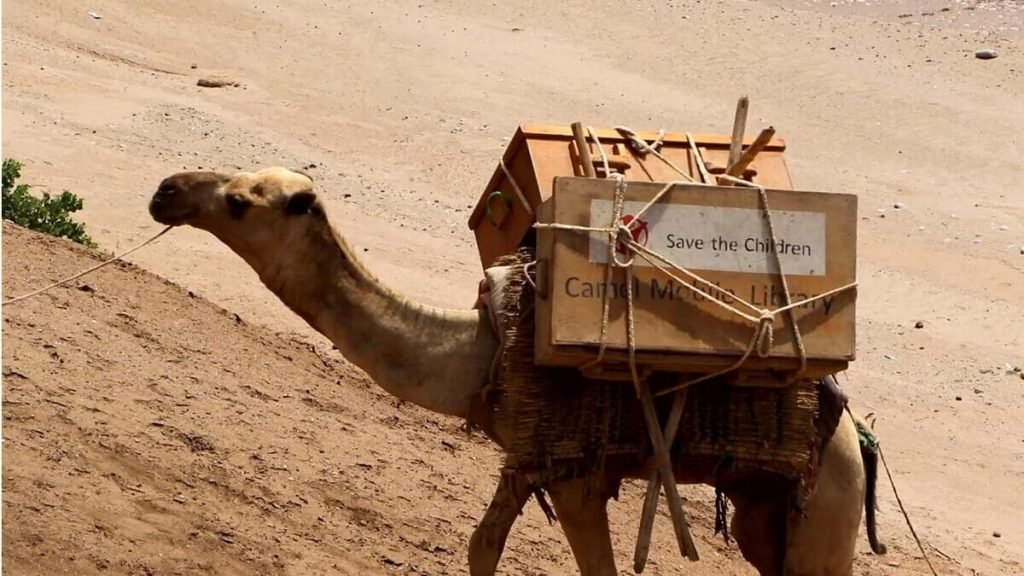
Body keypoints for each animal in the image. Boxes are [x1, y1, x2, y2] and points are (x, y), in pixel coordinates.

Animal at [147, 166, 885, 576]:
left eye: (240, 201)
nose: (165, 191)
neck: (484, 348)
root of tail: (856, 434)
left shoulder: (576, 470)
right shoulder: (525, 455)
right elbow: (480, 547)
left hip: (827, 505)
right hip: (767, 510)